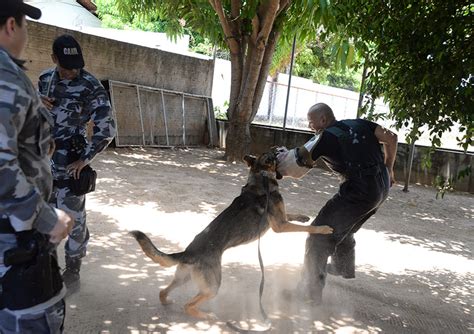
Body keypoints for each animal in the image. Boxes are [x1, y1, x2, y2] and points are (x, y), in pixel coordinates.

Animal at [128, 150, 332, 320]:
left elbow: (293, 215)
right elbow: (309, 228)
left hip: (184, 277)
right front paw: (324, 228)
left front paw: (304, 216)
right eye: (274, 153)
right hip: (212, 287)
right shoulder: (280, 225)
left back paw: (168, 301)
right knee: (188, 305)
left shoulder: (281, 218)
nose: (281, 149)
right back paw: (206, 316)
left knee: (163, 291)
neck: (261, 176)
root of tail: (188, 252)